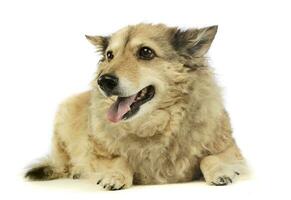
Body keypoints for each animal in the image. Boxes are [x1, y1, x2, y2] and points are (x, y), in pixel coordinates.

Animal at [25, 23, 249, 189]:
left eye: (146, 52)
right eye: (110, 55)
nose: (103, 81)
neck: (155, 125)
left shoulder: (230, 148)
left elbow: (210, 158)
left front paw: (221, 170)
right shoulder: (98, 155)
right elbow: (119, 160)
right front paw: (115, 175)